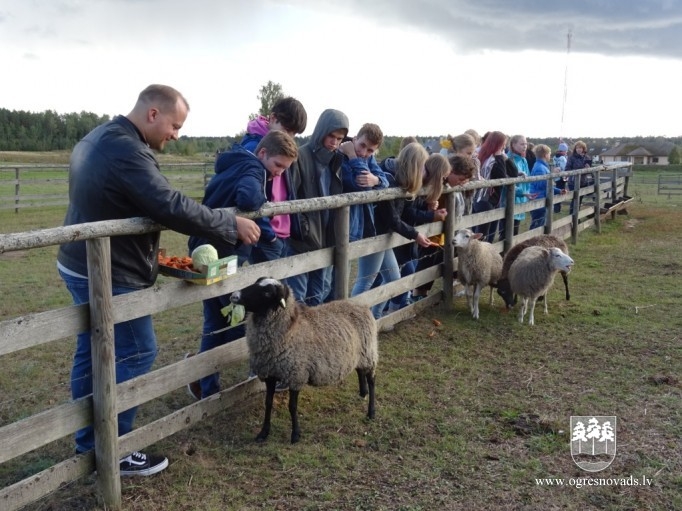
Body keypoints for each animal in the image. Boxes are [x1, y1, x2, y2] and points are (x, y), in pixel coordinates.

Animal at [228, 276, 378, 444]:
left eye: (267, 293)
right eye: (256, 282)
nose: (234, 295)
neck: (289, 329)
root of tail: (361, 305)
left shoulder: (296, 374)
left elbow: (292, 407)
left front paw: (295, 435)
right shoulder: (270, 374)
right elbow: (268, 403)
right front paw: (263, 433)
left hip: (369, 353)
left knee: (371, 379)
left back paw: (371, 412)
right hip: (357, 354)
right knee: (360, 371)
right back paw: (362, 393)